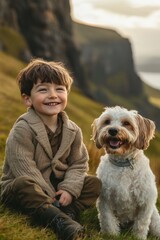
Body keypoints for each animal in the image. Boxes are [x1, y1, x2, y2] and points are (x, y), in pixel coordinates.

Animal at [92, 107, 160, 240]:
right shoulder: (105, 199)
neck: (122, 164)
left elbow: (141, 224)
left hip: (155, 219)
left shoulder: (146, 201)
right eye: (107, 121)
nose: (112, 130)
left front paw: (138, 237)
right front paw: (111, 234)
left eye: (126, 123)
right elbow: (108, 220)